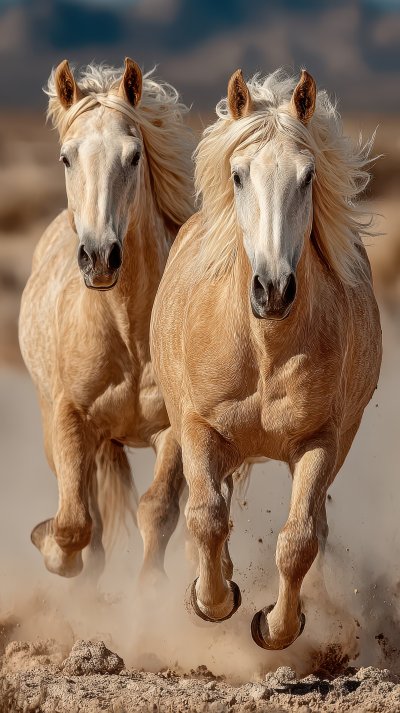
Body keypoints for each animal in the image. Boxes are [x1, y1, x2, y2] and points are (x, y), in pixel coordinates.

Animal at [19, 58, 194, 582]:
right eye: (65, 158)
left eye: (134, 156)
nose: (99, 257)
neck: (128, 332)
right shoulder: (71, 420)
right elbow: (76, 524)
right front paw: (49, 545)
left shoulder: (173, 430)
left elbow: (157, 511)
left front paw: (149, 591)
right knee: (87, 518)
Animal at [150, 68, 382, 649]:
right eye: (238, 176)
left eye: (308, 176)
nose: (273, 290)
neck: (263, 350)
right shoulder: (198, 428)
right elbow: (206, 517)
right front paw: (212, 600)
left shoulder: (320, 443)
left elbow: (299, 541)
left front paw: (278, 626)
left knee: (315, 527)